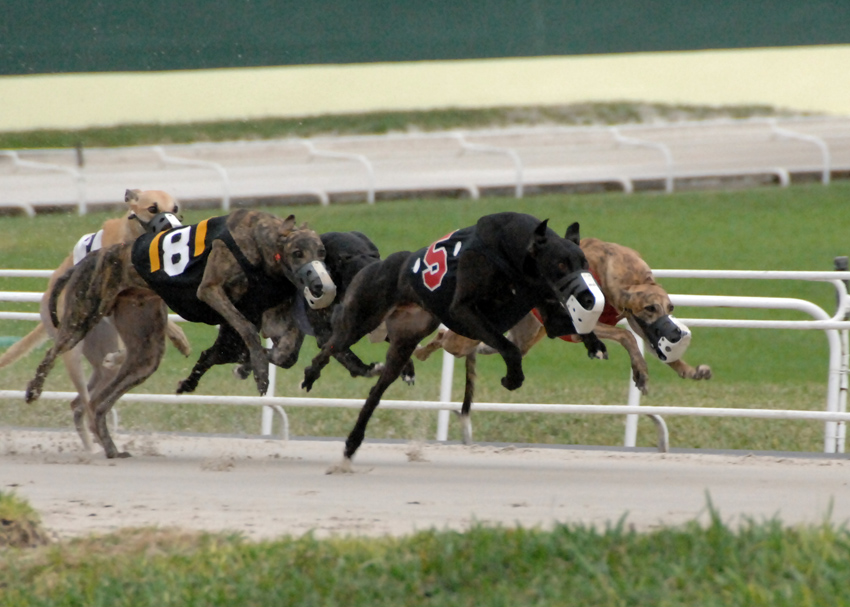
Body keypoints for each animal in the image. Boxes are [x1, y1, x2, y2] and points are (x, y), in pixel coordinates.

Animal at [0, 189, 191, 450]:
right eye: (152, 208)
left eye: (175, 208)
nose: (174, 228)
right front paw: (179, 337)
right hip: (72, 349)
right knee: (84, 398)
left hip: (100, 354)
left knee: (82, 401)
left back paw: (94, 443)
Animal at [25, 209, 334, 459]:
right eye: (297, 253)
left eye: (321, 253)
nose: (321, 286)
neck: (261, 242)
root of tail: (89, 258)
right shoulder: (210, 289)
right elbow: (247, 329)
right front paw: (258, 370)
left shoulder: (272, 317)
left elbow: (284, 354)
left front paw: (247, 365)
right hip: (82, 317)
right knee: (53, 351)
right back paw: (33, 390)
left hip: (145, 351)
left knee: (99, 403)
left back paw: (112, 447)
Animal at [301, 212, 606, 471]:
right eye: (560, 264)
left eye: (584, 263)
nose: (588, 298)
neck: (515, 252)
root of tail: (373, 264)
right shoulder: (463, 312)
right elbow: (509, 348)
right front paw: (512, 378)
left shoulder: (545, 310)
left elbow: (567, 327)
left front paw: (595, 346)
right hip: (359, 321)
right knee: (329, 347)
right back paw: (311, 374)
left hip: (403, 342)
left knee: (376, 391)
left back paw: (351, 445)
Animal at [415, 236, 712, 443]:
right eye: (651, 308)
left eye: (670, 308)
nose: (674, 333)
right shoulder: (581, 323)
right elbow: (625, 335)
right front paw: (640, 372)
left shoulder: (635, 321)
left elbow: (647, 342)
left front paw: (689, 370)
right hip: (468, 334)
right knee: (443, 337)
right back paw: (419, 353)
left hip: (519, 338)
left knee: (495, 348)